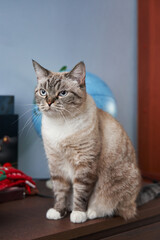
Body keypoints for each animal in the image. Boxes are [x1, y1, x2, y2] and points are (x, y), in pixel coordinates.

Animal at [32, 60, 160, 223]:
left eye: (62, 93)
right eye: (43, 92)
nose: (49, 102)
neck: (60, 124)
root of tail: (136, 197)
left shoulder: (85, 164)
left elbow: (81, 192)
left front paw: (78, 214)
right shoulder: (56, 164)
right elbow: (60, 192)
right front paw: (58, 211)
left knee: (116, 208)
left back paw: (91, 212)